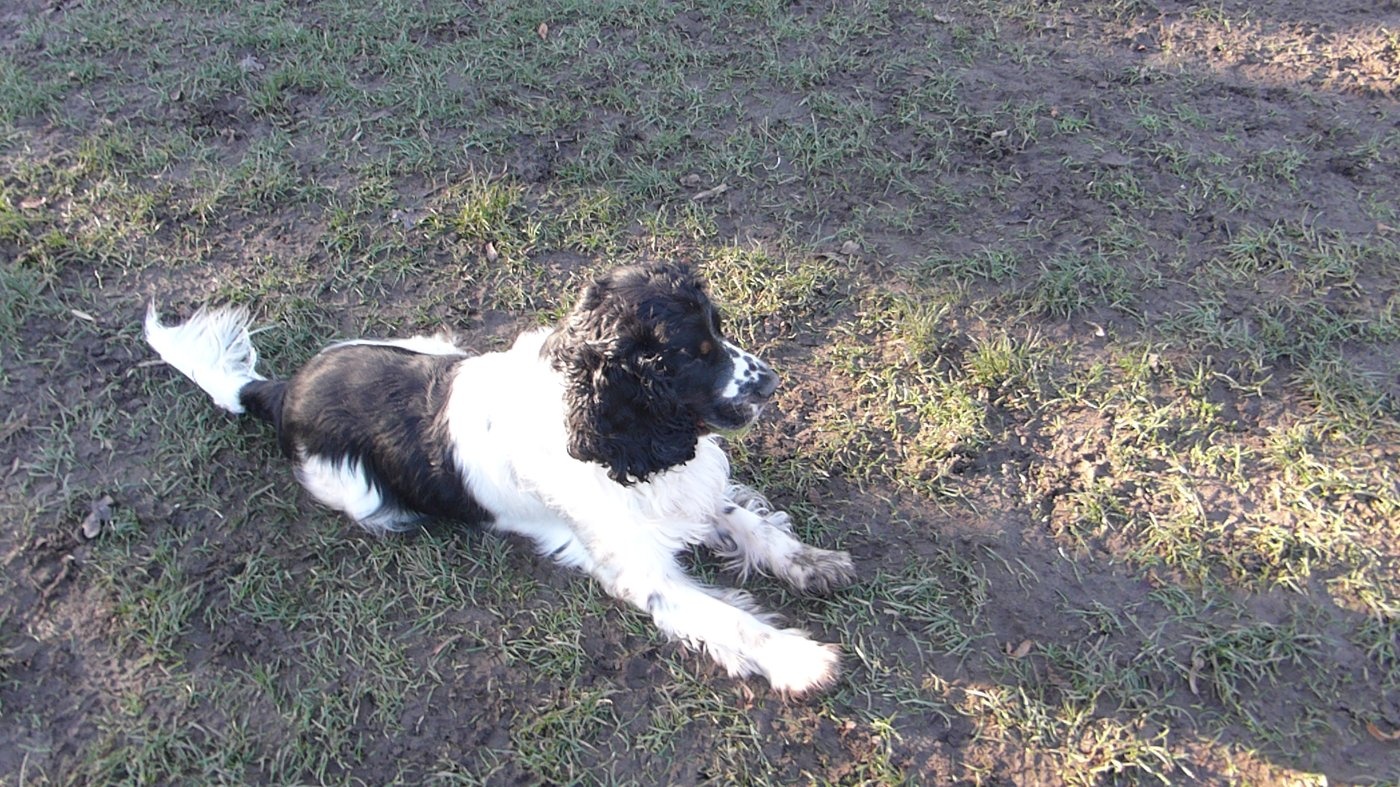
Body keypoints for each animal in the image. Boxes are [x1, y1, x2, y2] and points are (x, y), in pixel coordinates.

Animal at [143, 261, 855, 694]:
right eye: (694, 355)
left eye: (718, 331)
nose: (772, 381)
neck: (594, 420)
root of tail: (281, 389)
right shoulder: (641, 570)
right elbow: (729, 619)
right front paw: (802, 659)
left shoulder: (682, 493)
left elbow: (746, 523)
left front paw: (810, 563)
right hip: (357, 492)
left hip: (429, 344)